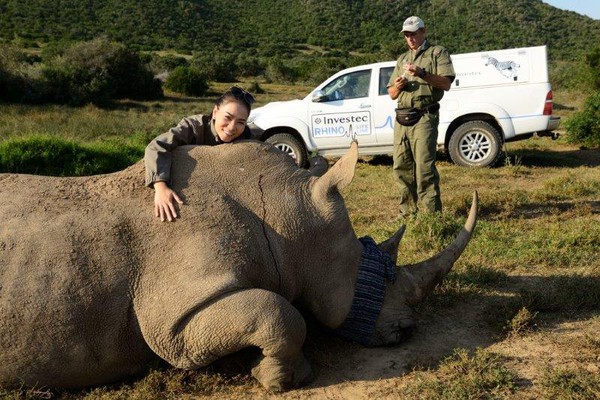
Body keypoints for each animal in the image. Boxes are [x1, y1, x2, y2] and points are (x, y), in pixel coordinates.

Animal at [1, 140, 478, 390]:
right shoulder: (176, 318)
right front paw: (287, 378)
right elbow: (282, 316)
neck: (291, 215)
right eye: (380, 273)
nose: (408, 331)